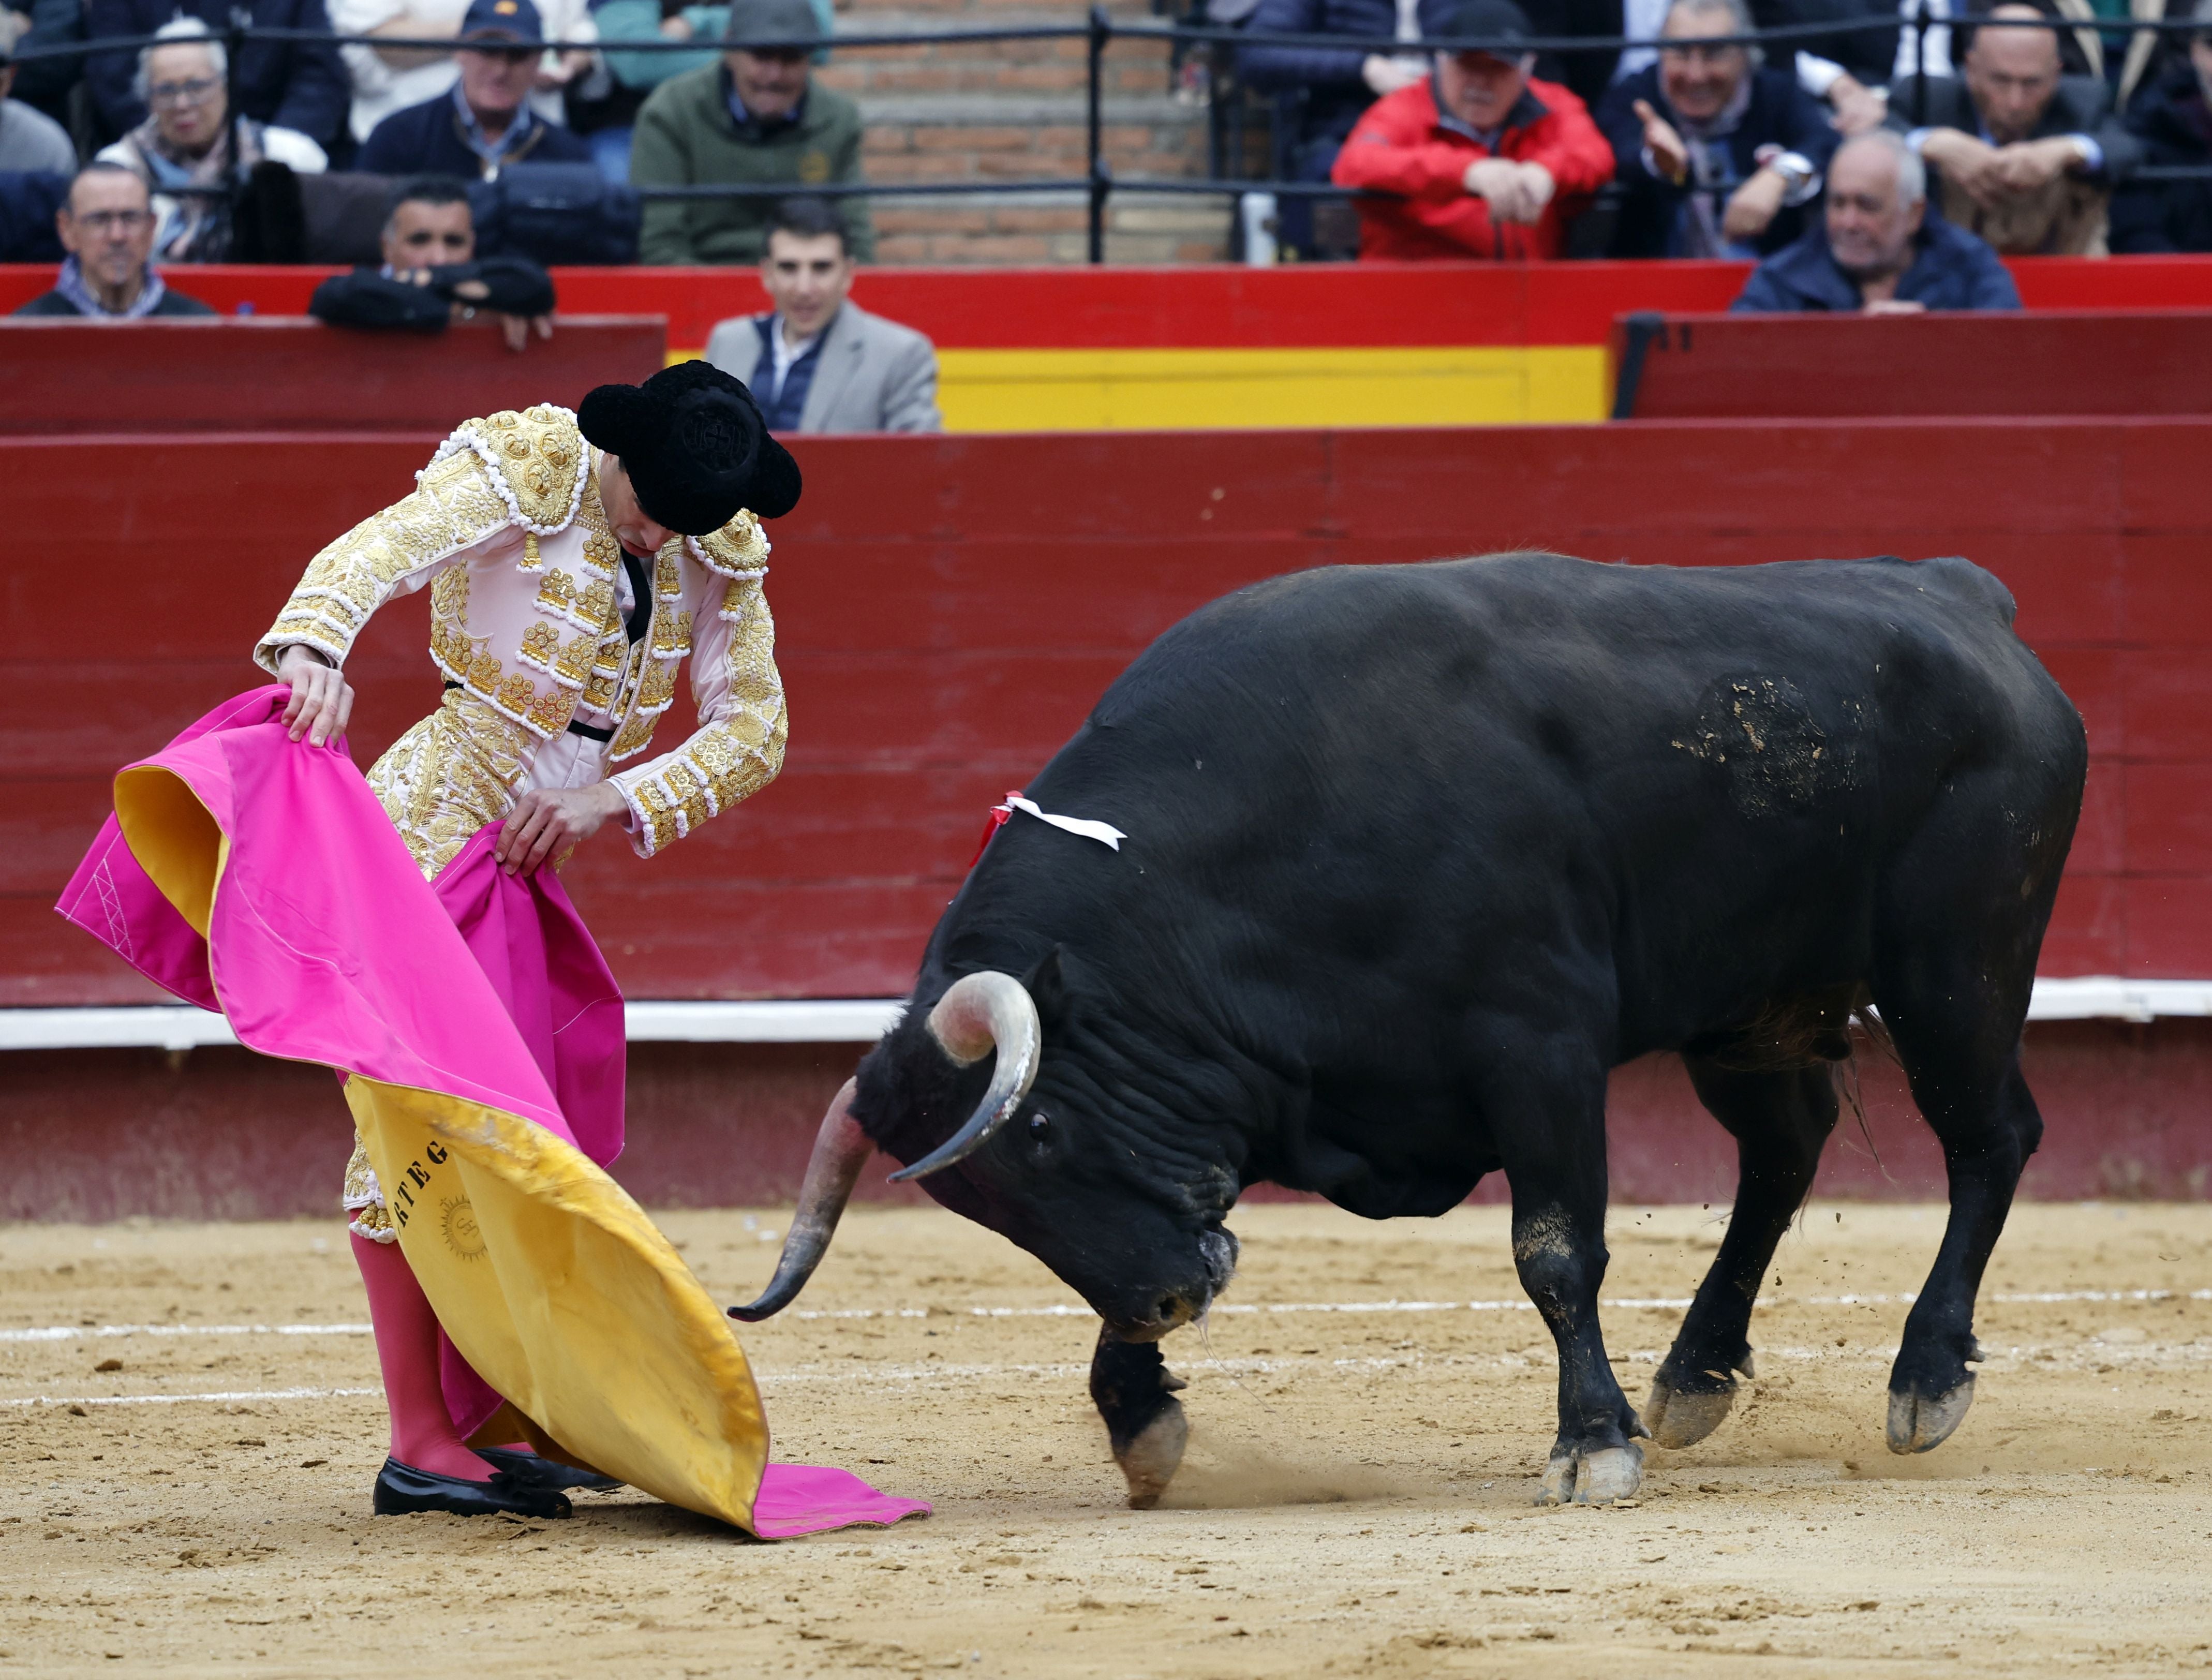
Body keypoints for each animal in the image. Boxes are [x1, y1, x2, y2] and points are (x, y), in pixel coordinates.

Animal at [734, 550, 2079, 1512]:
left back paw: (1924, 1376)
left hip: (1952, 971)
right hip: (1748, 1006)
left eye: (1047, 1133)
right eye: (987, 1206)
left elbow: (1554, 1250)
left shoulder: (1538, 1047)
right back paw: (1695, 1375)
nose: (1166, 1301)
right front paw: (1140, 1417)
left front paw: (1591, 1445)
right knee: (1783, 1150)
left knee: (1990, 1139)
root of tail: (1963, 595)